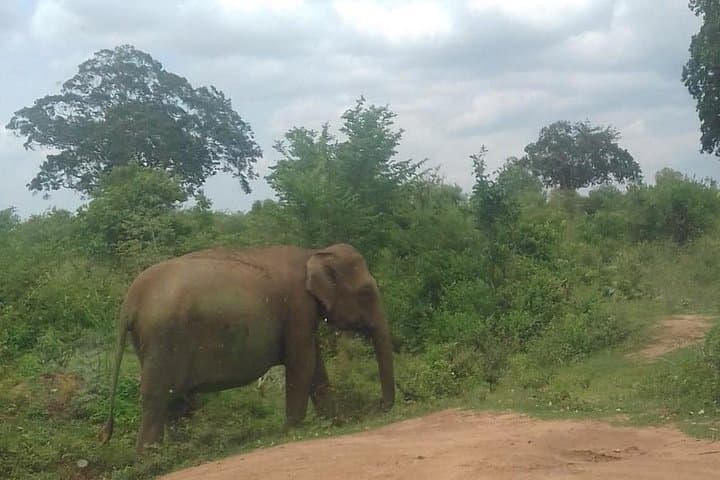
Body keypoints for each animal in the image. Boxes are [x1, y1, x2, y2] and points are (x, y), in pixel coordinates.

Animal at [99, 243, 395, 453]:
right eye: (366, 293)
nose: (380, 407)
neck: (313, 253)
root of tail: (129, 302)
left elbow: (315, 366)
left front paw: (335, 423)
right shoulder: (297, 308)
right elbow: (302, 364)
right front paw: (292, 430)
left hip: (149, 342)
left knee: (173, 401)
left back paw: (178, 451)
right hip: (164, 338)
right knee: (157, 399)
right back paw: (150, 459)